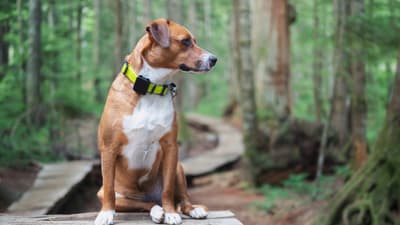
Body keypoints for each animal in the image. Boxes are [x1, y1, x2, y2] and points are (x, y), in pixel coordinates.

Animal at [94, 18, 217, 225]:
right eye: (185, 41)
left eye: (194, 41)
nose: (214, 59)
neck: (151, 88)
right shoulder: (109, 148)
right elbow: (110, 188)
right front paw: (106, 214)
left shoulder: (170, 147)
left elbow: (167, 189)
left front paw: (171, 213)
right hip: (113, 195)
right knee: (143, 204)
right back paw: (157, 211)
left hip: (178, 168)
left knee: (181, 199)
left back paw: (189, 209)